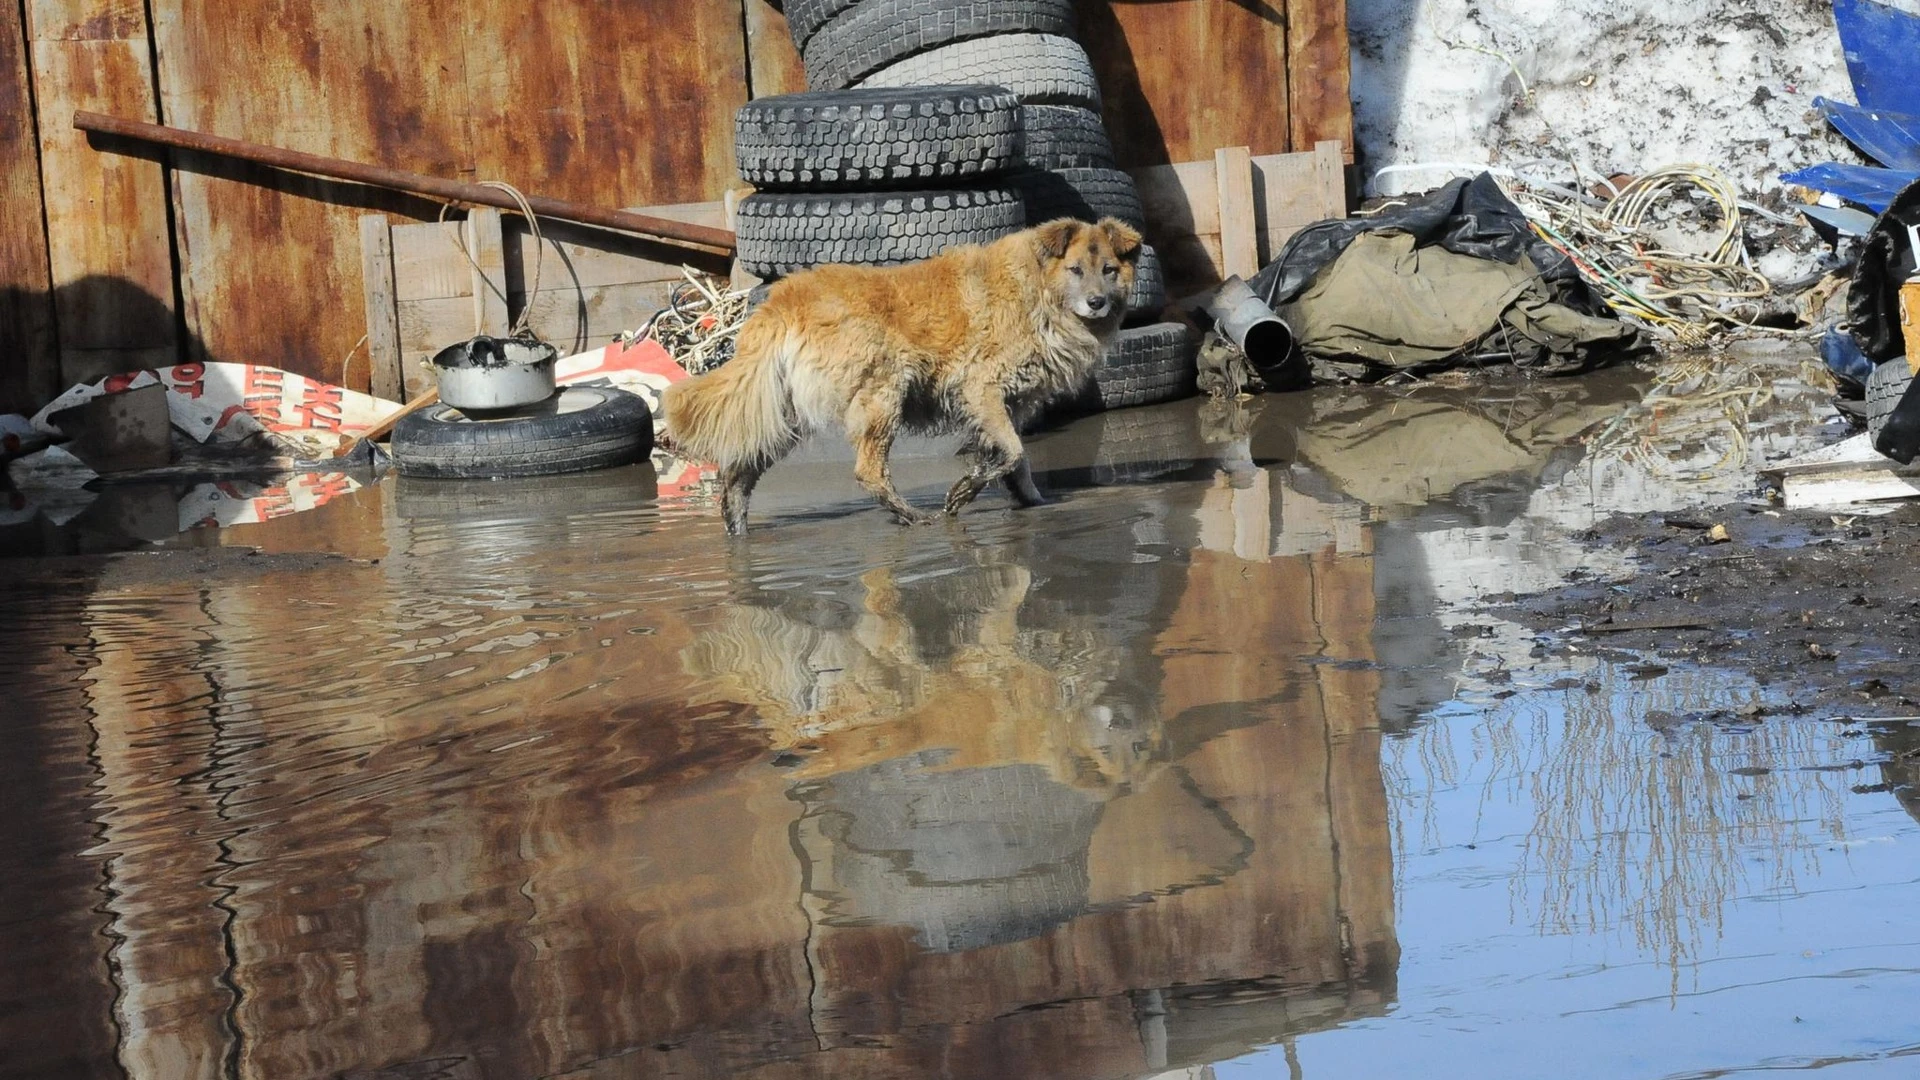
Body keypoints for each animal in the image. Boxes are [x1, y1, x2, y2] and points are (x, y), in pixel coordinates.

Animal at [660, 219, 1136, 534]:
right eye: (1076, 269)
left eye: (1109, 270)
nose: (1097, 302)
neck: (1036, 289)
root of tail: (783, 299)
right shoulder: (981, 389)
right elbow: (1014, 453)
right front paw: (964, 492)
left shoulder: (1011, 404)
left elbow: (1014, 459)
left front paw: (1031, 499)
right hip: (882, 395)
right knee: (868, 471)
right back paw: (911, 516)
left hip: (787, 412)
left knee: (740, 472)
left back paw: (736, 525)